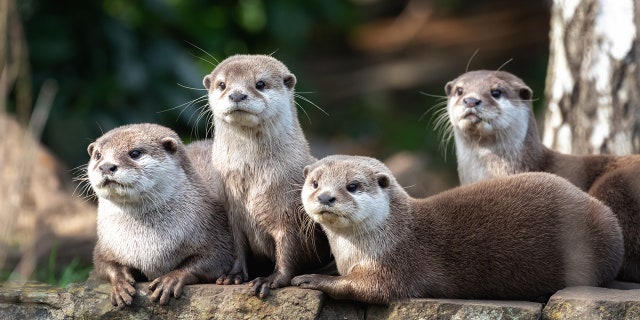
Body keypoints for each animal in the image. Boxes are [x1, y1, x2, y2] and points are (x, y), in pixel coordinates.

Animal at [86, 123, 232, 308]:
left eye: (135, 153)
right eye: (98, 155)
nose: (106, 166)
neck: (147, 244)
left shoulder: (214, 229)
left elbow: (215, 258)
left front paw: (171, 279)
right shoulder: (106, 245)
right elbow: (103, 263)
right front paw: (120, 284)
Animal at [202, 54, 332, 298]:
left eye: (260, 83)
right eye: (222, 84)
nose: (237, 94)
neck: (253, 180)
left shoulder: (290, 214)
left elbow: (289, 250)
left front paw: (271, 280)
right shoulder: (232, 212)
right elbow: (238, 247)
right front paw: (234, 275)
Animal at [292, 155, 624, 304]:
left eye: (352, 186)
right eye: (315, 183)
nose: (325, 197)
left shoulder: (396, 264)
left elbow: (369, 289)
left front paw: (310, 278)